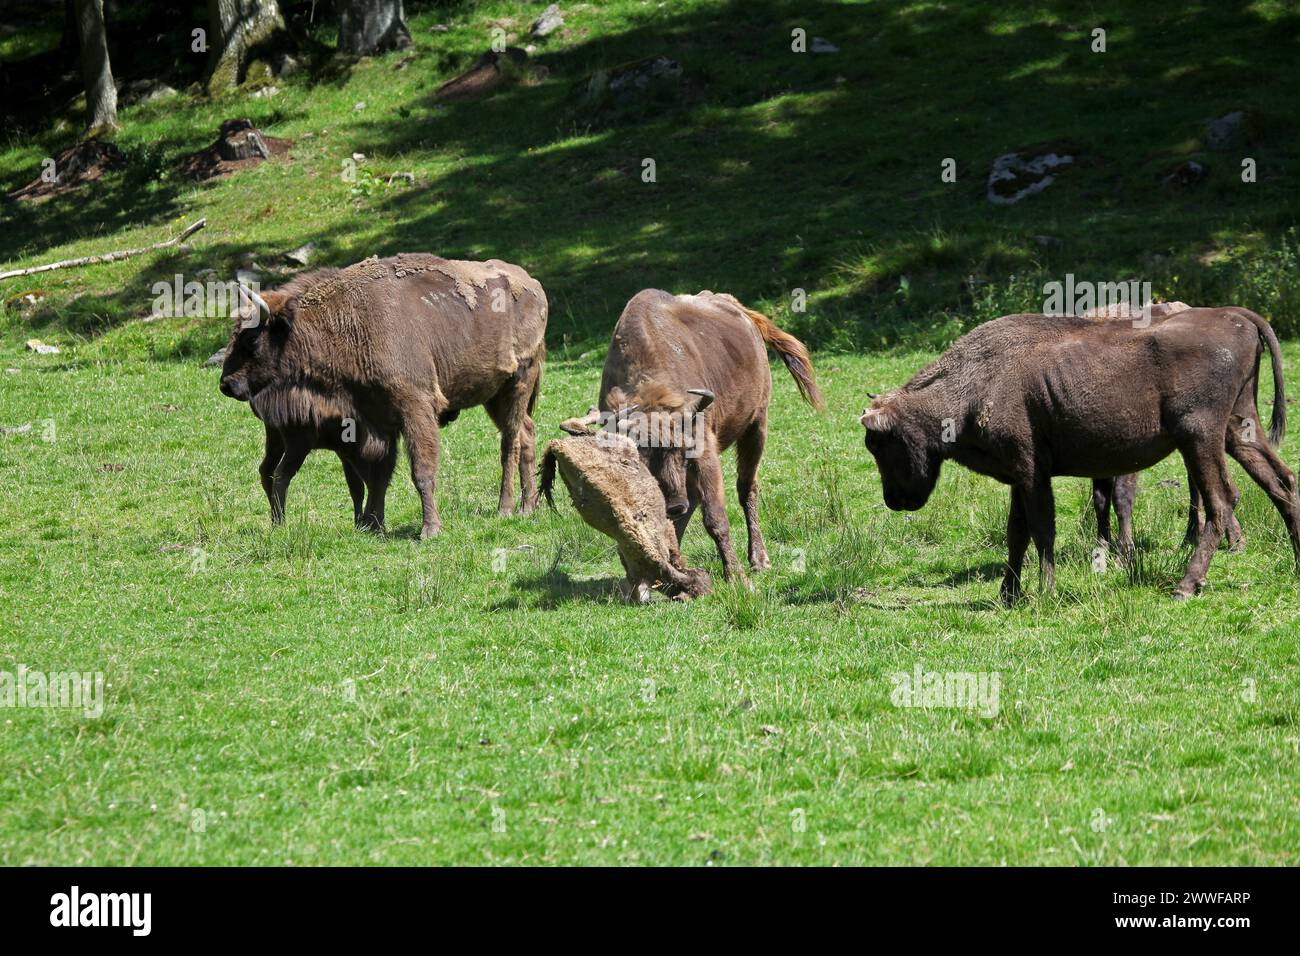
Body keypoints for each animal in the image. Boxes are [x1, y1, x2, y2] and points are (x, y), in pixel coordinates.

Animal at [219, 254, 547, 537]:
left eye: (251, 339)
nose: (226, 385)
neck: (346, 321)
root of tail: (534, 285)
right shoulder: (377, 420)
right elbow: (380, 475)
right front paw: (374, 524)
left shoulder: (415, 408)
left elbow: (420, 470)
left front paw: (429, 530)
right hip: (495, 395)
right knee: (526, 433)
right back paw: (528, 507)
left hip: (519, 381)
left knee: (510, 442)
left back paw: (505, 509)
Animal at [596, 289, 823, 582]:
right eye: (642, 462)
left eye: (684, 454)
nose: (674, 506)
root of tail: (740, 310)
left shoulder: (705, 452)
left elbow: (715, 517)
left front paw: (736, 575)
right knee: (696, 499)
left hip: (756, 425)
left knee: (746, 488)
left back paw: (759, 559)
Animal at [860, 308, 1300, 603]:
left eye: (878, 443)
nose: (894, 500)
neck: (979, 381)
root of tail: (1236, 316)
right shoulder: (1020, 477)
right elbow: (1016, 533)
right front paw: (1008, 594)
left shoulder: (1032, 473)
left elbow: (1041, 531)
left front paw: (1045, 590)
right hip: (1238, 430)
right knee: (1281, 482)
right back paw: (1296, 562)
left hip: (1199, 436)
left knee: (1222, 501)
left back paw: (1186, 585)